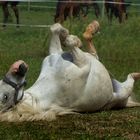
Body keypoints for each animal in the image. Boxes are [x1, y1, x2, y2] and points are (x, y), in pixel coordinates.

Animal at [0, 22, 139, 121]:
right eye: (5, 97)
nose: (18, 67)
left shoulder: (55, 53)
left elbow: (55, 28)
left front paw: (64, 33)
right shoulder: (84, 65)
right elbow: (70, 42)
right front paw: (73, 39)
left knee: (93, 51)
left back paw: (91, 28)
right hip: (122, 92)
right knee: (130, 78)